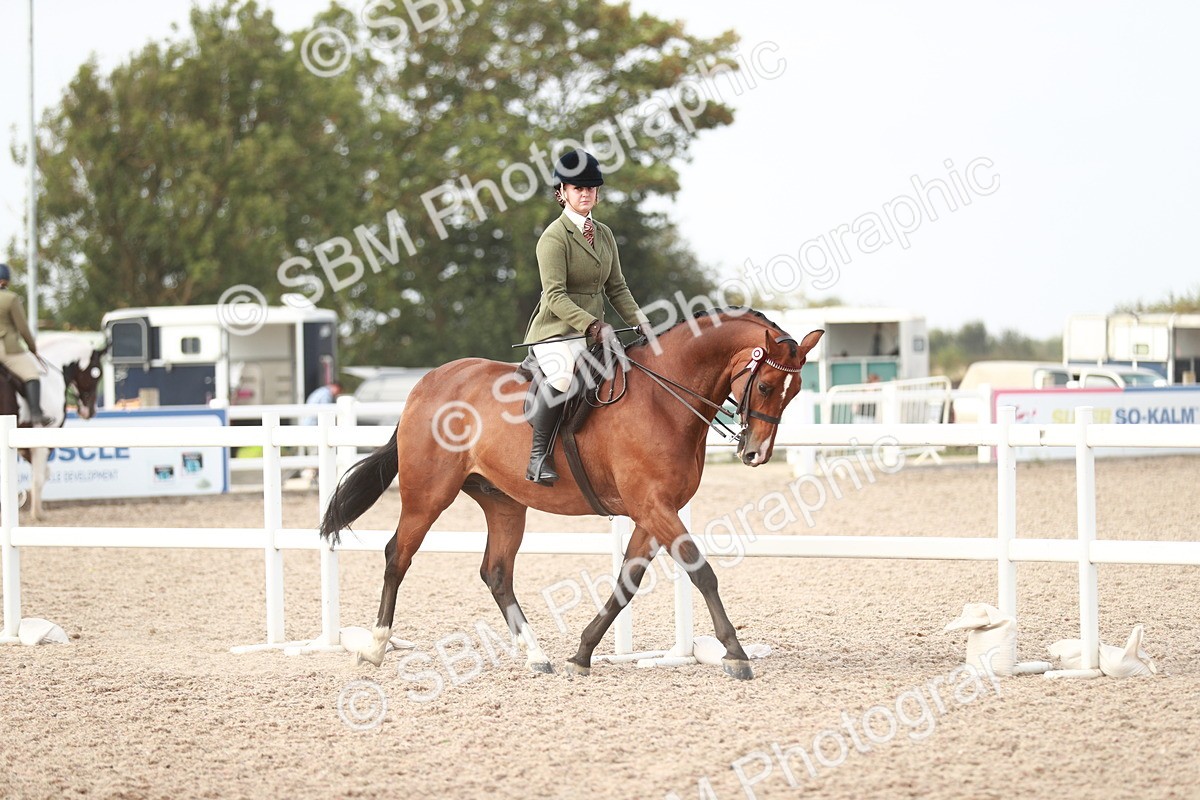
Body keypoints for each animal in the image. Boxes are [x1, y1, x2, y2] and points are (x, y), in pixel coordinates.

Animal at [0, 338, 106, 519]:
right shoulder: (42, 437)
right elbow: (40, 476)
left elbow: (43, 472)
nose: (90, 411)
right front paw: (37, 513)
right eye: (97, 373)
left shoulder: (22, 444)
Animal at [319, 308, 823, 680]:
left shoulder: (652, 512)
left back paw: (535, 655)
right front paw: (735, 653)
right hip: (428, 494)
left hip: (503, 502)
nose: (756, 453)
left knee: (496, 573)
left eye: (796, 390)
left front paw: (582, 653)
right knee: (398, 555)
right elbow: (702, 572)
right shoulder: (653, 506)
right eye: (764, 384)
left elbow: (627, 582)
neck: (664, 397)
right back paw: (375, 648)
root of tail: (426, 383)